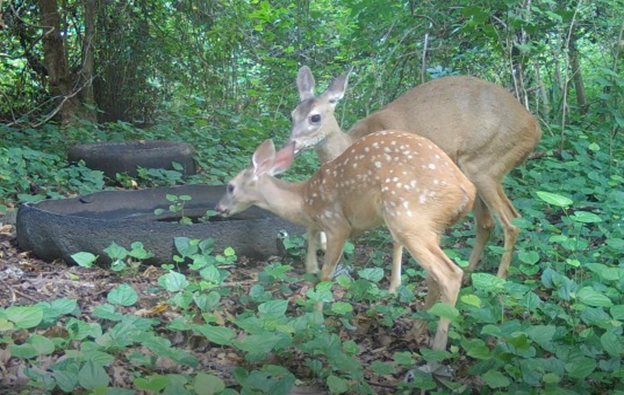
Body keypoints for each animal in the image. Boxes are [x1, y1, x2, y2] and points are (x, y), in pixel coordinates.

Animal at [217, 131, 476, 352]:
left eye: (230, 186)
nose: (218, 208)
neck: (304, 201)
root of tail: (467, 190)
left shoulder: (337, 225)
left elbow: (325, 277)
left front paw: (317, 321)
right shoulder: (317, 226)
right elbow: (311, 263)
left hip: (408, 218)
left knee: (450, 274)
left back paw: (437, 349)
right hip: (432, 227)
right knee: (433, 278)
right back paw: (416, 330)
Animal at [288, 65, 540, 282]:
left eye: (315, 117)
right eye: (292, 114)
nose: (292, 143)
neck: (350, 143)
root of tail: (535, 129)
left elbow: (396, 236)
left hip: (484, 165)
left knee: (511, 221)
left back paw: (499, 283)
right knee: (488, 223)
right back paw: (469, 277)